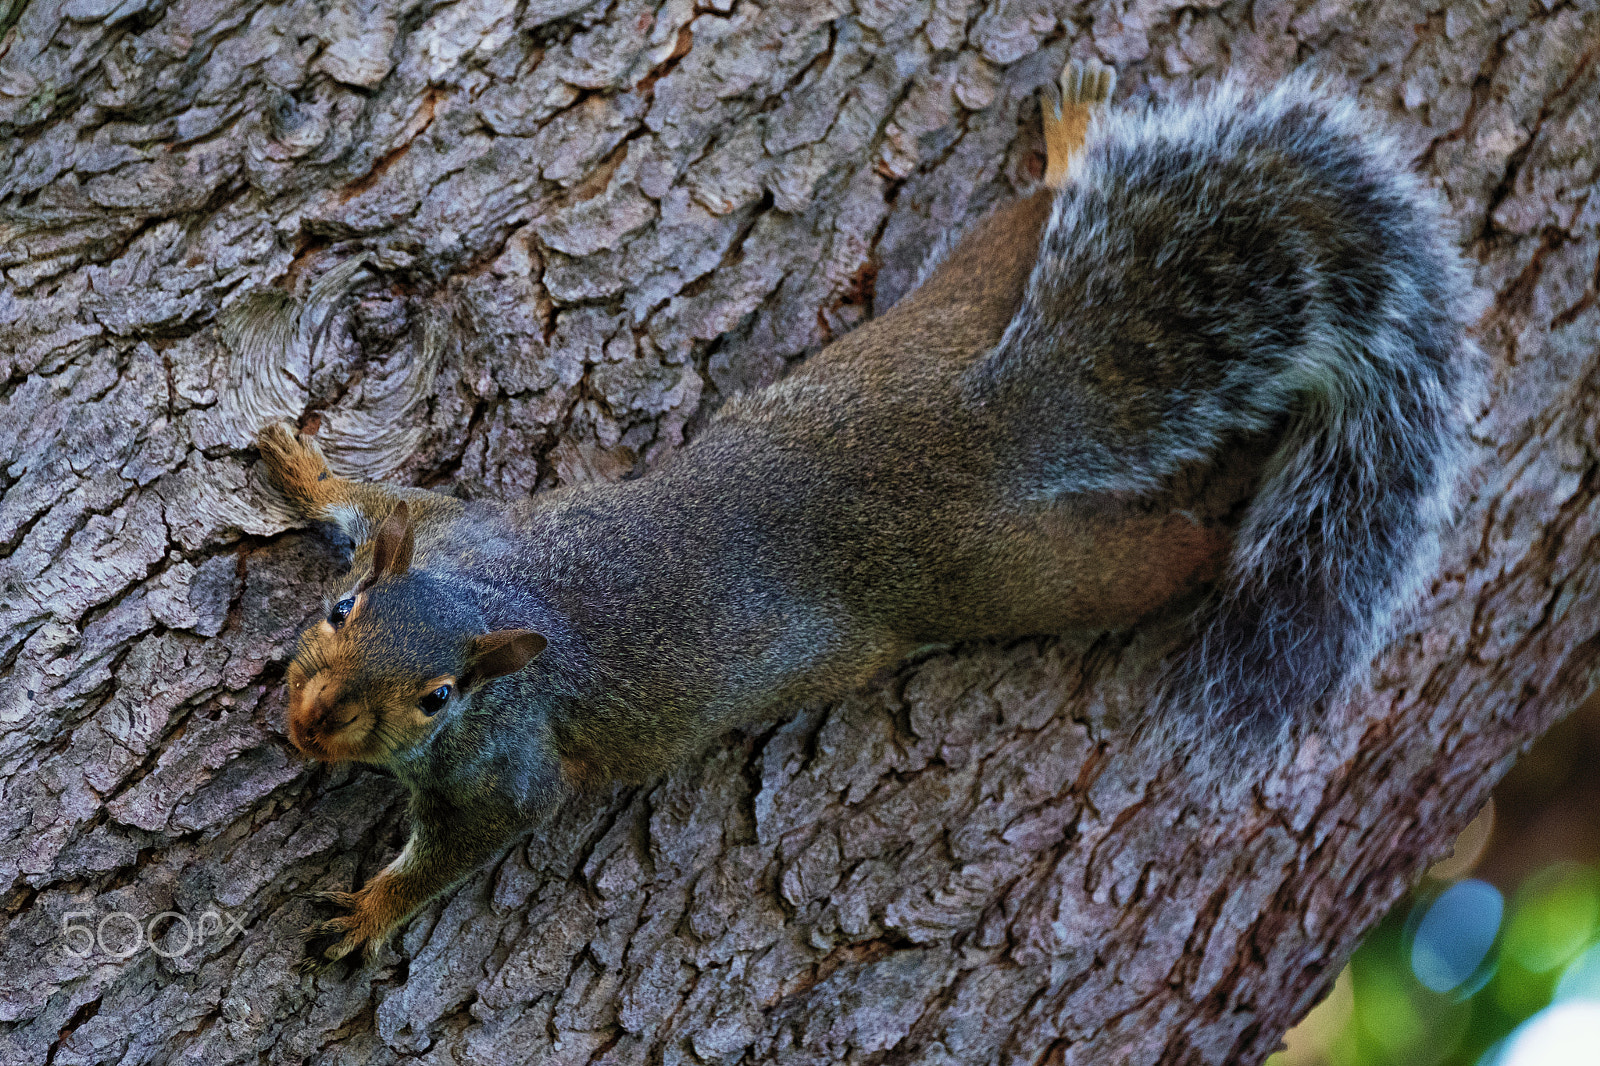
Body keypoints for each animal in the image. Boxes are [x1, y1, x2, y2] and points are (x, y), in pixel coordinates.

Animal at [255, 59, 1479, 971]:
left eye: (439, 699)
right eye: (341, 609)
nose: (311, 722)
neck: (483, 592)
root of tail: (998, 422)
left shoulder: (509, 773)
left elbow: (460, 850)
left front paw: (369, 912)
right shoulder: (450, 528)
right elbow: (382, 498)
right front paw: (307, 468)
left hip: (1023, 572)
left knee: (1159, 557)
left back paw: (1227, 546)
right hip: (954, 306)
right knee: (1033, 223)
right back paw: (1075, 141)